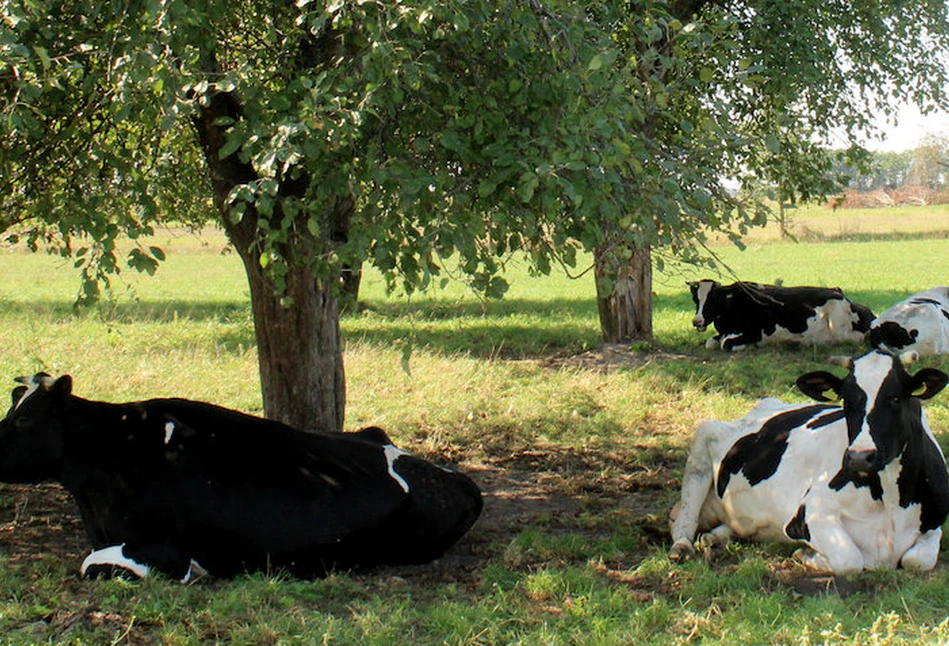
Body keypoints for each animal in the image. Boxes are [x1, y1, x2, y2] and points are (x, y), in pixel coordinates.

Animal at [668, 352, 948, 576]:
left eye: (895, 398)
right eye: (846, 400)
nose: (859, 457)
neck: (891, 501)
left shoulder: (934, 525)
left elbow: (917, 560)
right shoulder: (810, 514)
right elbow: (851, 560)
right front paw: (806, 554)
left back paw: (715, 538)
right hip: (705, 437)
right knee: (684, 515)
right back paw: (682, 546)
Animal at [680, 280, 872, 352]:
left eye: (713, 299)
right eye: (695, 299)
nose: (697, 321)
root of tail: (839, 292)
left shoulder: (755, 333)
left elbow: (725, 344)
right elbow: (711, 342)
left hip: (838, 327)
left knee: (853, 339)